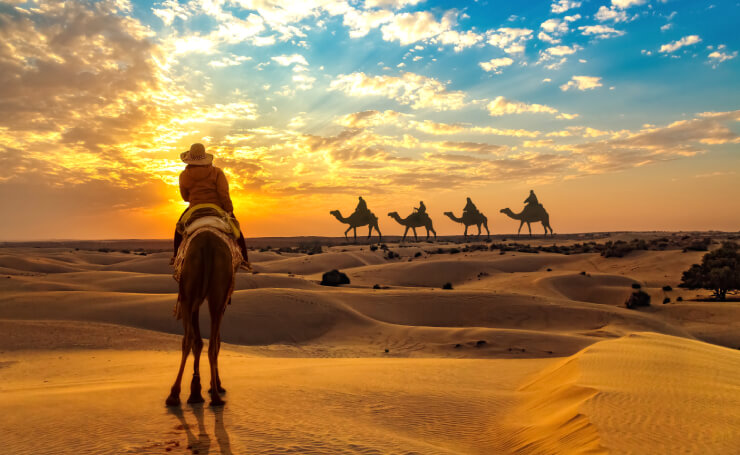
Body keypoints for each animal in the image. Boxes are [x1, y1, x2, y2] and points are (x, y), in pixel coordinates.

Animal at [166, 230, 236, 408]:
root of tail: (208, 245)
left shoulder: (191, 301)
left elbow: (197, 341)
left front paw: (196, 390)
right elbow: (210, 341)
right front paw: (203, 388)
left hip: (188, 295)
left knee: (188, 339)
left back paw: (174, 394)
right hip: (217, 292)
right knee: (211, 343)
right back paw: (216, 397)